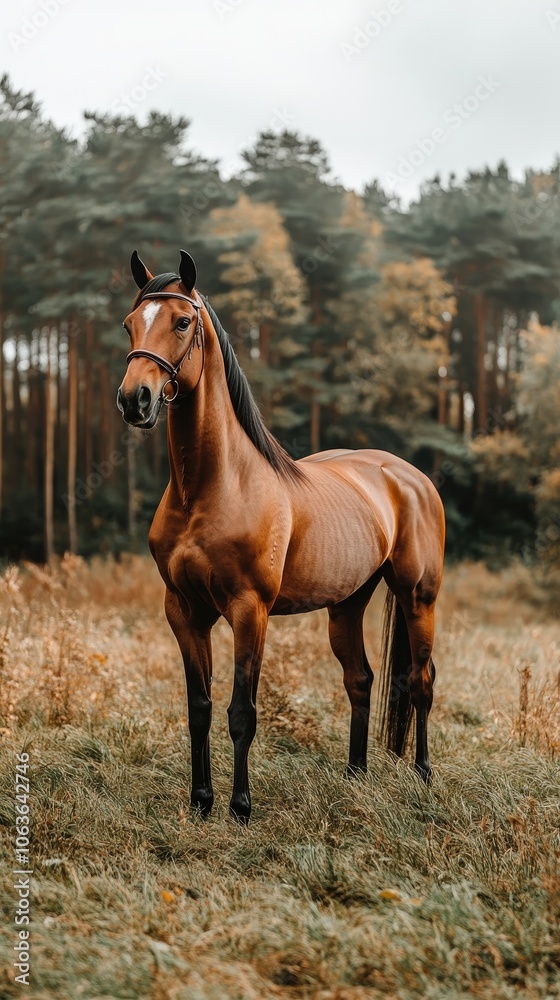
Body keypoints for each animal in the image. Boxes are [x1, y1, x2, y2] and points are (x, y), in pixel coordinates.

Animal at [117, 250, 445, 824]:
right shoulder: (183, 611)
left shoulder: (250, 611)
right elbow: (198, 708)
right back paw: (355, 775)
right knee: (360, 680)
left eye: (181, 323)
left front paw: (240, 808)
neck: (210, 487)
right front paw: (200, 802)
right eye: (131, 323)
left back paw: (423, 775)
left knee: (421, 682)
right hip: (347, 604)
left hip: (417, 597)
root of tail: (410, 477)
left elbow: (241, 712)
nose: (135, 399)